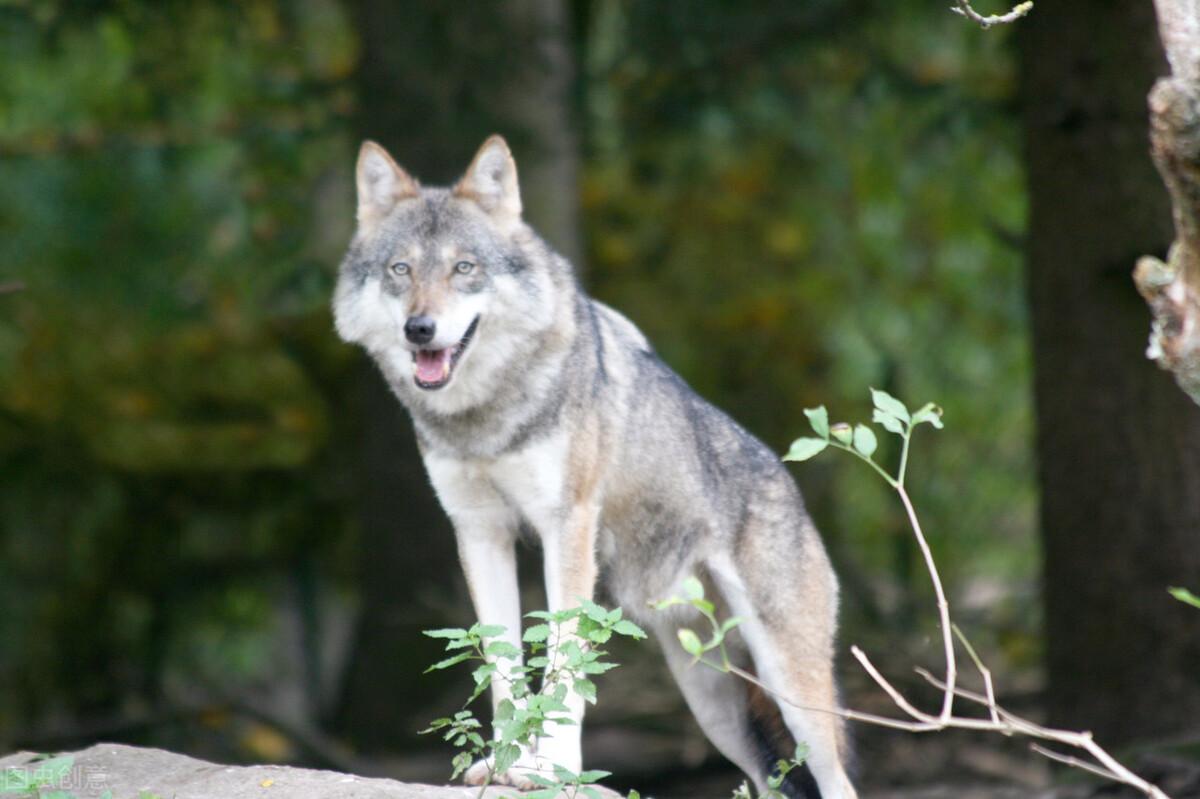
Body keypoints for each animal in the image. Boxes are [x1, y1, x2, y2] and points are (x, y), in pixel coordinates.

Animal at [333, 136, 859, 796]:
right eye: (400, 270)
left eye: (465, 268)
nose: (420, 329)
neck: (484, 419)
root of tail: (790, 484)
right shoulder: (479, 531)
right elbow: (502, 663)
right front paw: (504, 764)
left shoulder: (568, 524)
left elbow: (563, 658)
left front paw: (550, 766)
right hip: (713, 705)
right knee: (768, 781)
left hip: (790, 690)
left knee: (837, 779)